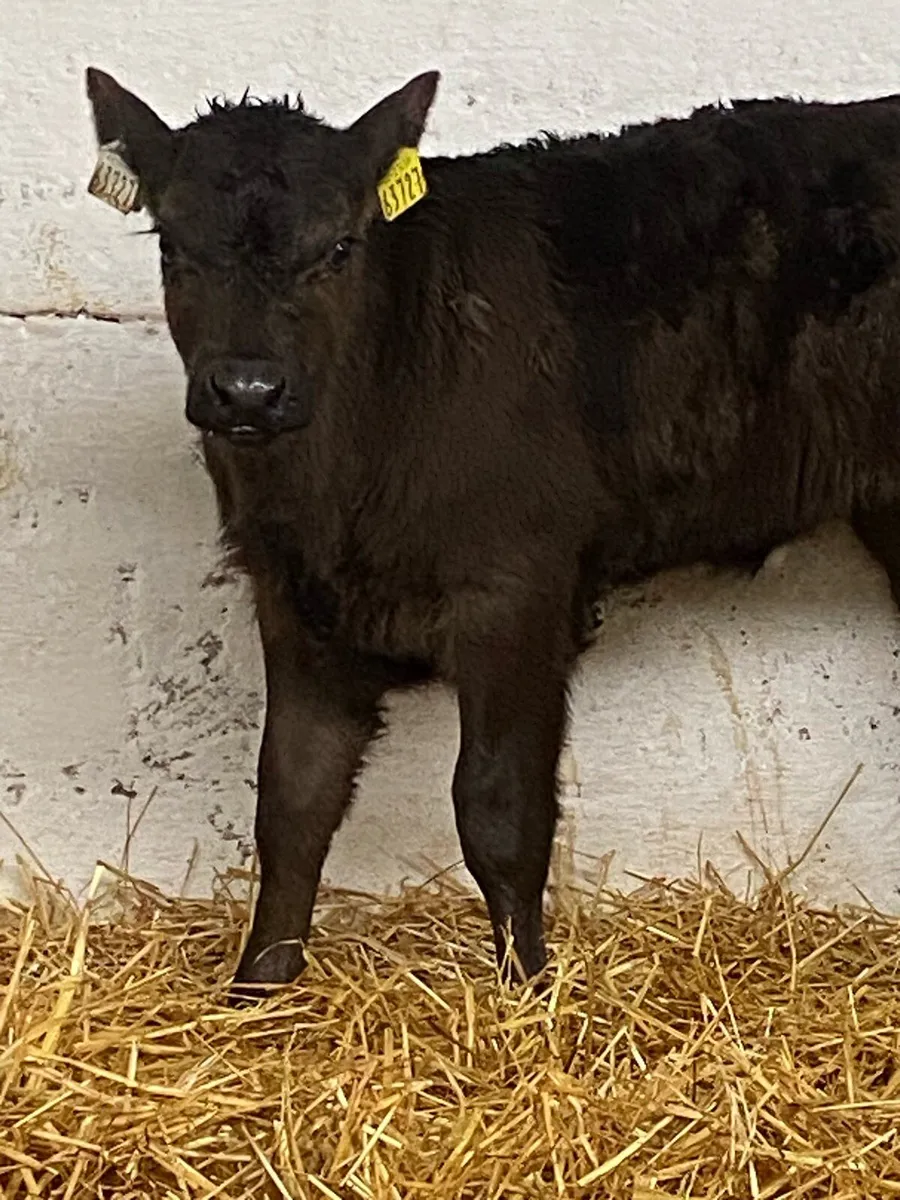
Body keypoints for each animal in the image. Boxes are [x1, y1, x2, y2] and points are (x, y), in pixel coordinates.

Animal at [85, 65, 900, 999]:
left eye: (341, 248)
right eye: (171, 249)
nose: (248, 389)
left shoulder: (515, 587)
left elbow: (498, 809)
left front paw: (530, 996)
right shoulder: (292, 594)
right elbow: (291, 800)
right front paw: (258, 991)